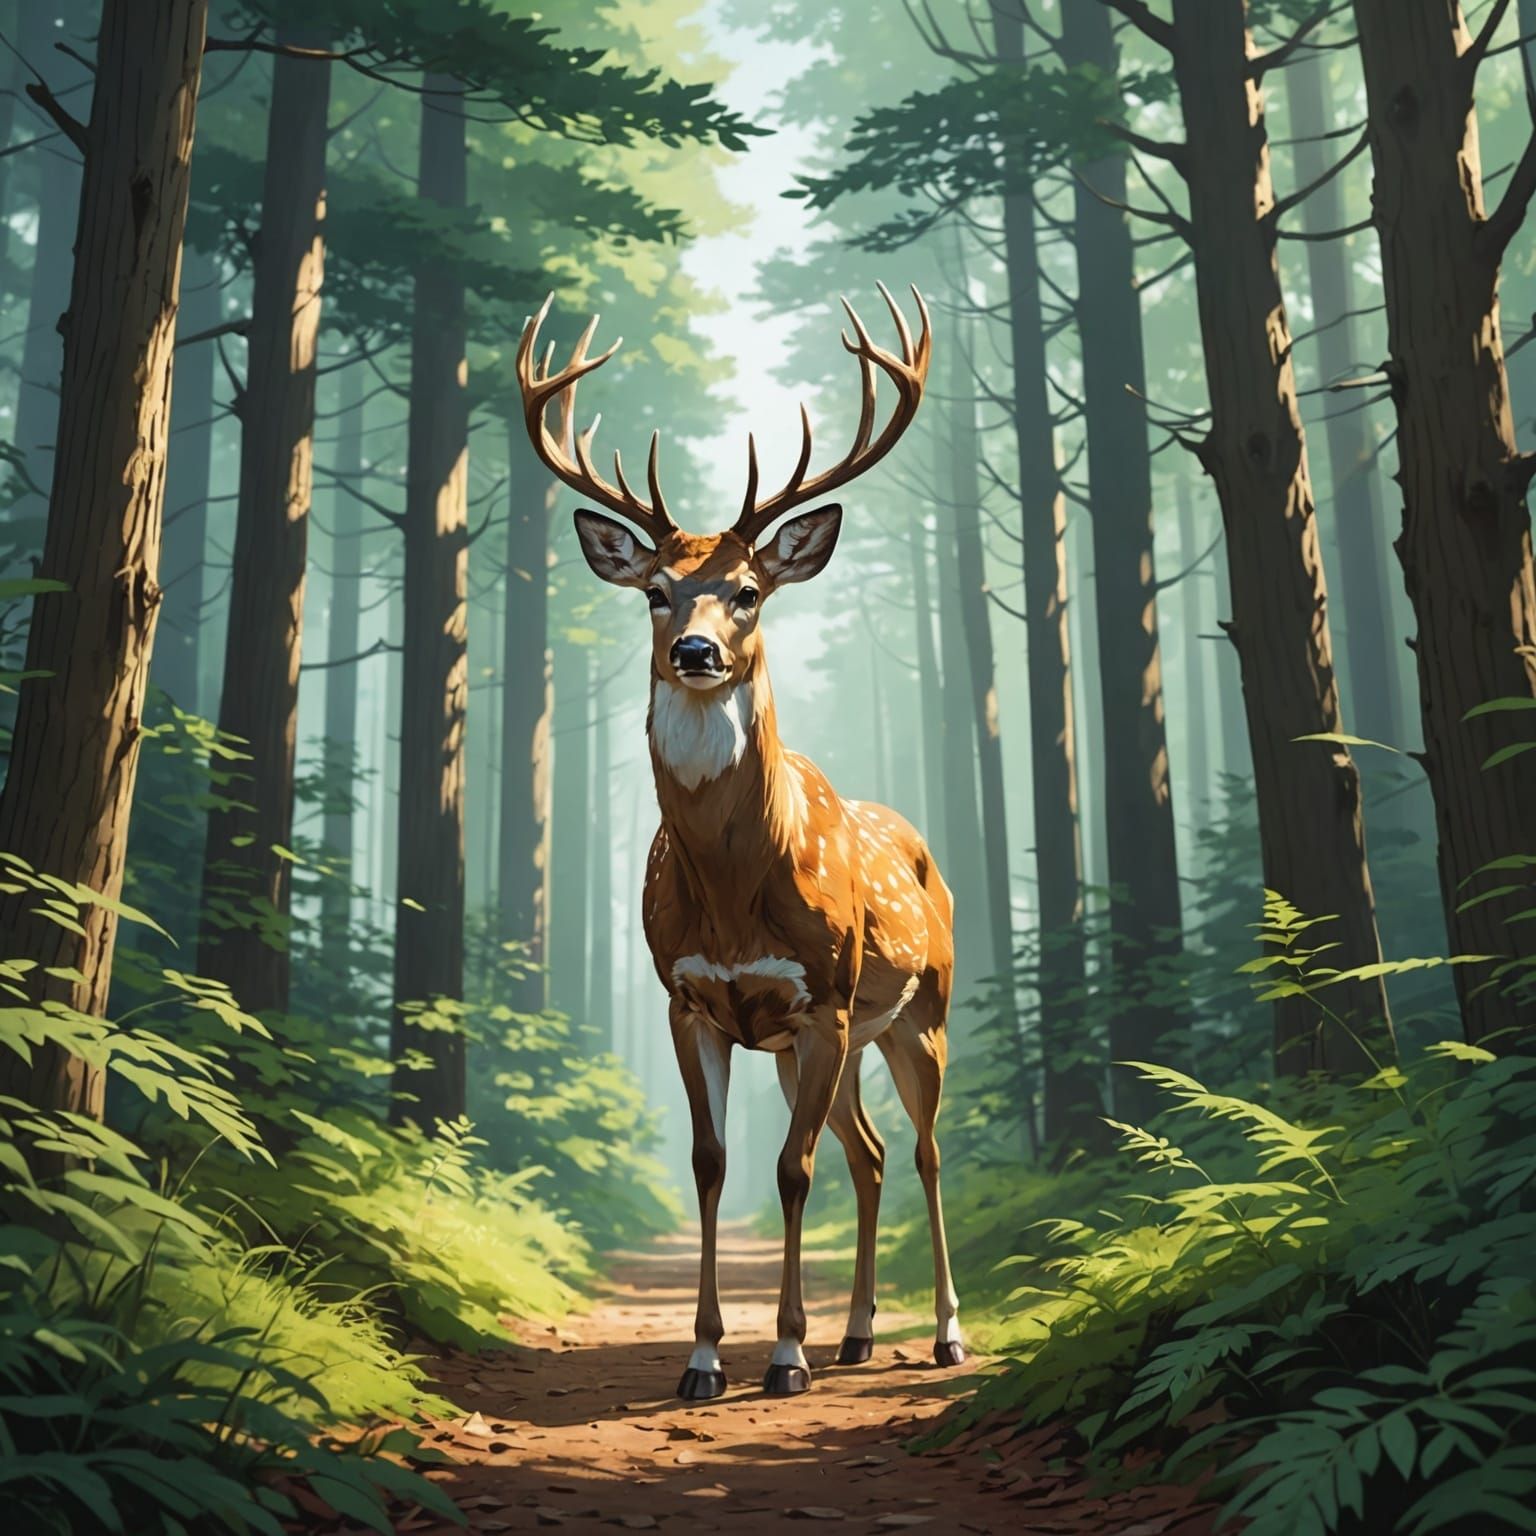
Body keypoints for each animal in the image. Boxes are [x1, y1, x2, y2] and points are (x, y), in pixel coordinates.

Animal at [516, 285, 962, 1400]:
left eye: (749, 591)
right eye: (654, 592)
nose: (695, 651)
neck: (730, 888)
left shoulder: (824, 996)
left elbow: (788, 1171)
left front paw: (786, 1354)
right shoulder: (694, 1001)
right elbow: (712, 1165)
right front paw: (707, 1357)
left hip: (917, 1010)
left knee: (925, 1152)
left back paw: (941, 1333)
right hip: (823, 1047)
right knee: (871, 1150)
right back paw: (859, 1335)